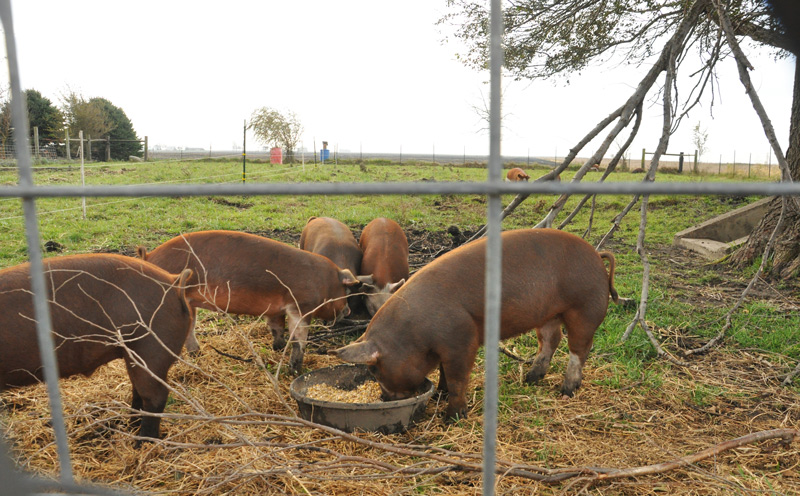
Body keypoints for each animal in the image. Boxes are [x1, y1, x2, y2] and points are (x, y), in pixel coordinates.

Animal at [0, 254, 197, 441]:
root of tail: (174, 283)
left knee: (155, 396)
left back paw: (141, 443)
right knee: (138, 390)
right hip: (135, 353)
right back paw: (130, 428)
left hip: (152, 347)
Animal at [138, 230, 360, 374]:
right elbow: (298, 339)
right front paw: (295, 369)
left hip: (189, 302)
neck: (323, 281)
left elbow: (276, 329)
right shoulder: (300, 307)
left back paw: (197, 356)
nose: (348, 311)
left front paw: (277, 348)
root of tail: (148, 257)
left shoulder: (276, 309)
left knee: (190, 330)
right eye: (346, 291)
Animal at [333, 228, 619, 421]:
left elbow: (458, 377)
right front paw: (440, 393)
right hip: (549, 314)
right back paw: (530, 378)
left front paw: (452, 417)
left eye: (375, 370)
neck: (414, 333)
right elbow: (444, 372)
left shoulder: (462, 339)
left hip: (585, 308)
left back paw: (567, 390)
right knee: (551, 339)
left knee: (579, 348)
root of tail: (596, 254)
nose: (383, 398)